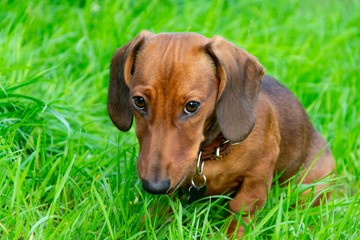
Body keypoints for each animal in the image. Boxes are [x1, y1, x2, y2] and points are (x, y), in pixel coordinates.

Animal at [107, 31, 334, 236]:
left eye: (192, 106)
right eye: (139, 101)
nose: (154, 186)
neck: (212, 151)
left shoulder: (257, 175)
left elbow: (241, 210)